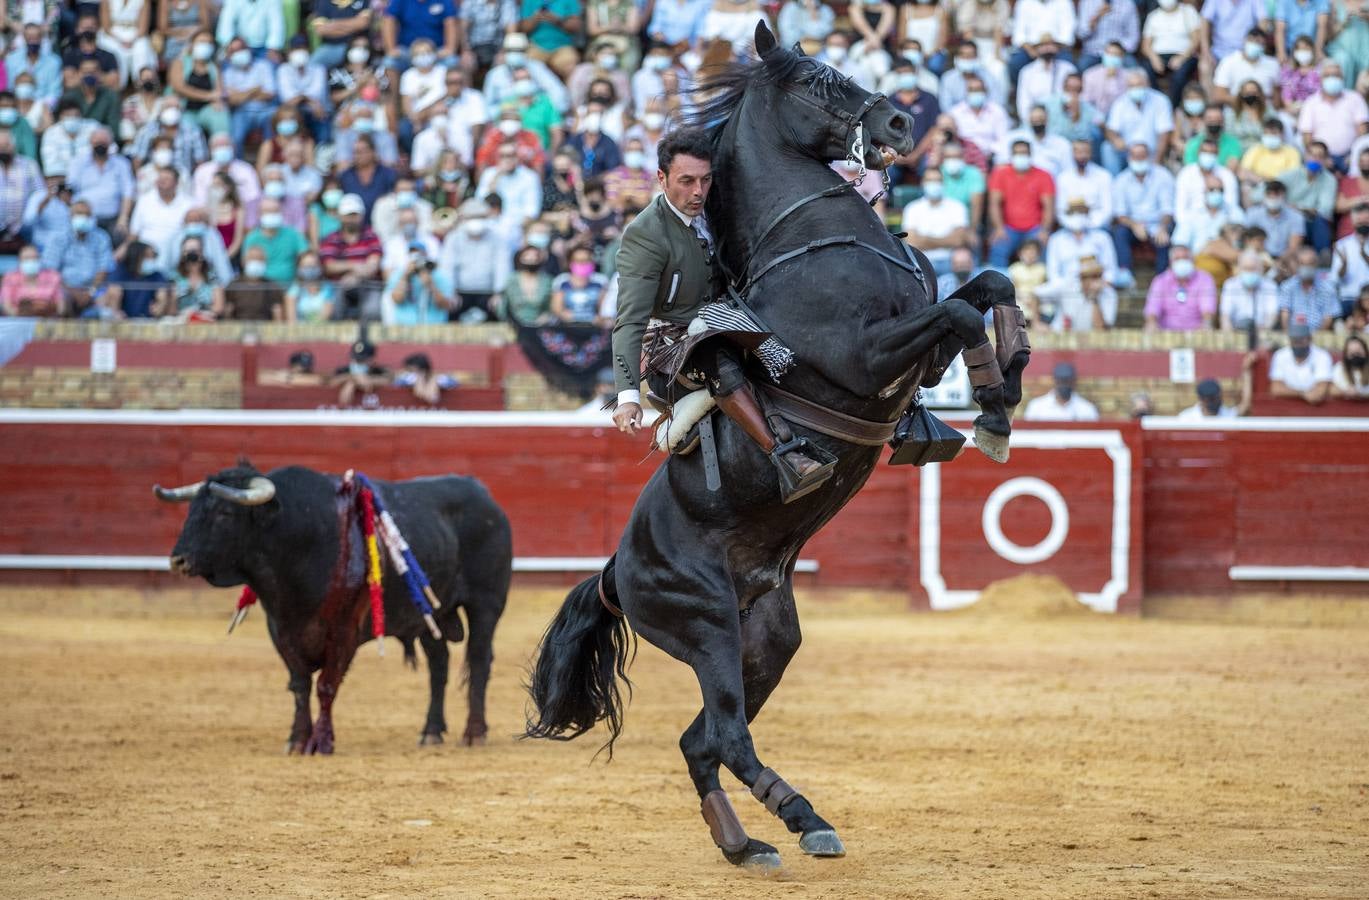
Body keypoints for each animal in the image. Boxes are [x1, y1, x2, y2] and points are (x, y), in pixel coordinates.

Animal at [155, 463, 514, 750]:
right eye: (192, 510)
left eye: (224, 514)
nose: (178, 560)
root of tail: (485, 496)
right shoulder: (280, 628)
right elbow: (300, 684)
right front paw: (297, 740)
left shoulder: (345, 630)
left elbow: (327, 685)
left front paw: (323, 742)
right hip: (431, 615)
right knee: (438, 666)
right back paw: (431, 732)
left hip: (486, 605)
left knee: (479, 661)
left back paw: (474, 734)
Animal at [522, 24, 1029, 871]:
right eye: (813, 84)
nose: (898, 122)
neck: (814, 235)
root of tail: (616, 572)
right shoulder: (864, 355)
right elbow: (959, 314)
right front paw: (989, 408)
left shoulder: (914, 352)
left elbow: (987, 286)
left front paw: (1001, 389)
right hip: (705, 626)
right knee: (725, 734)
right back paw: (802, 816)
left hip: (769, 636)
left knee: (701, 741)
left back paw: (747, 842)